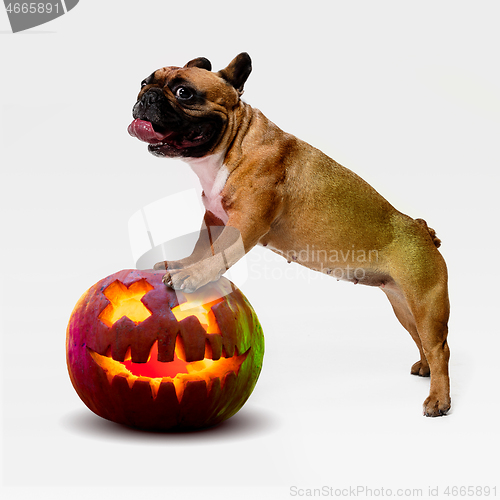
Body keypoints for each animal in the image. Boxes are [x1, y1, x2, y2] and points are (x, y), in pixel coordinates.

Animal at [127, 52, 452, 416]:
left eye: (184, 92)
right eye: (144, 82)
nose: (146, 97)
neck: (234, 142)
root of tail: (424, 231)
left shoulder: (247, 221)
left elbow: (219, 252)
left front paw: (192, 276)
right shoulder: (214, 218)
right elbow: (203, 247)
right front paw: (184, 264)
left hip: (426, 303)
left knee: (439, 348)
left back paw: (439, 399)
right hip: (404, 305)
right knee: (422, 339)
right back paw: (424, 369)